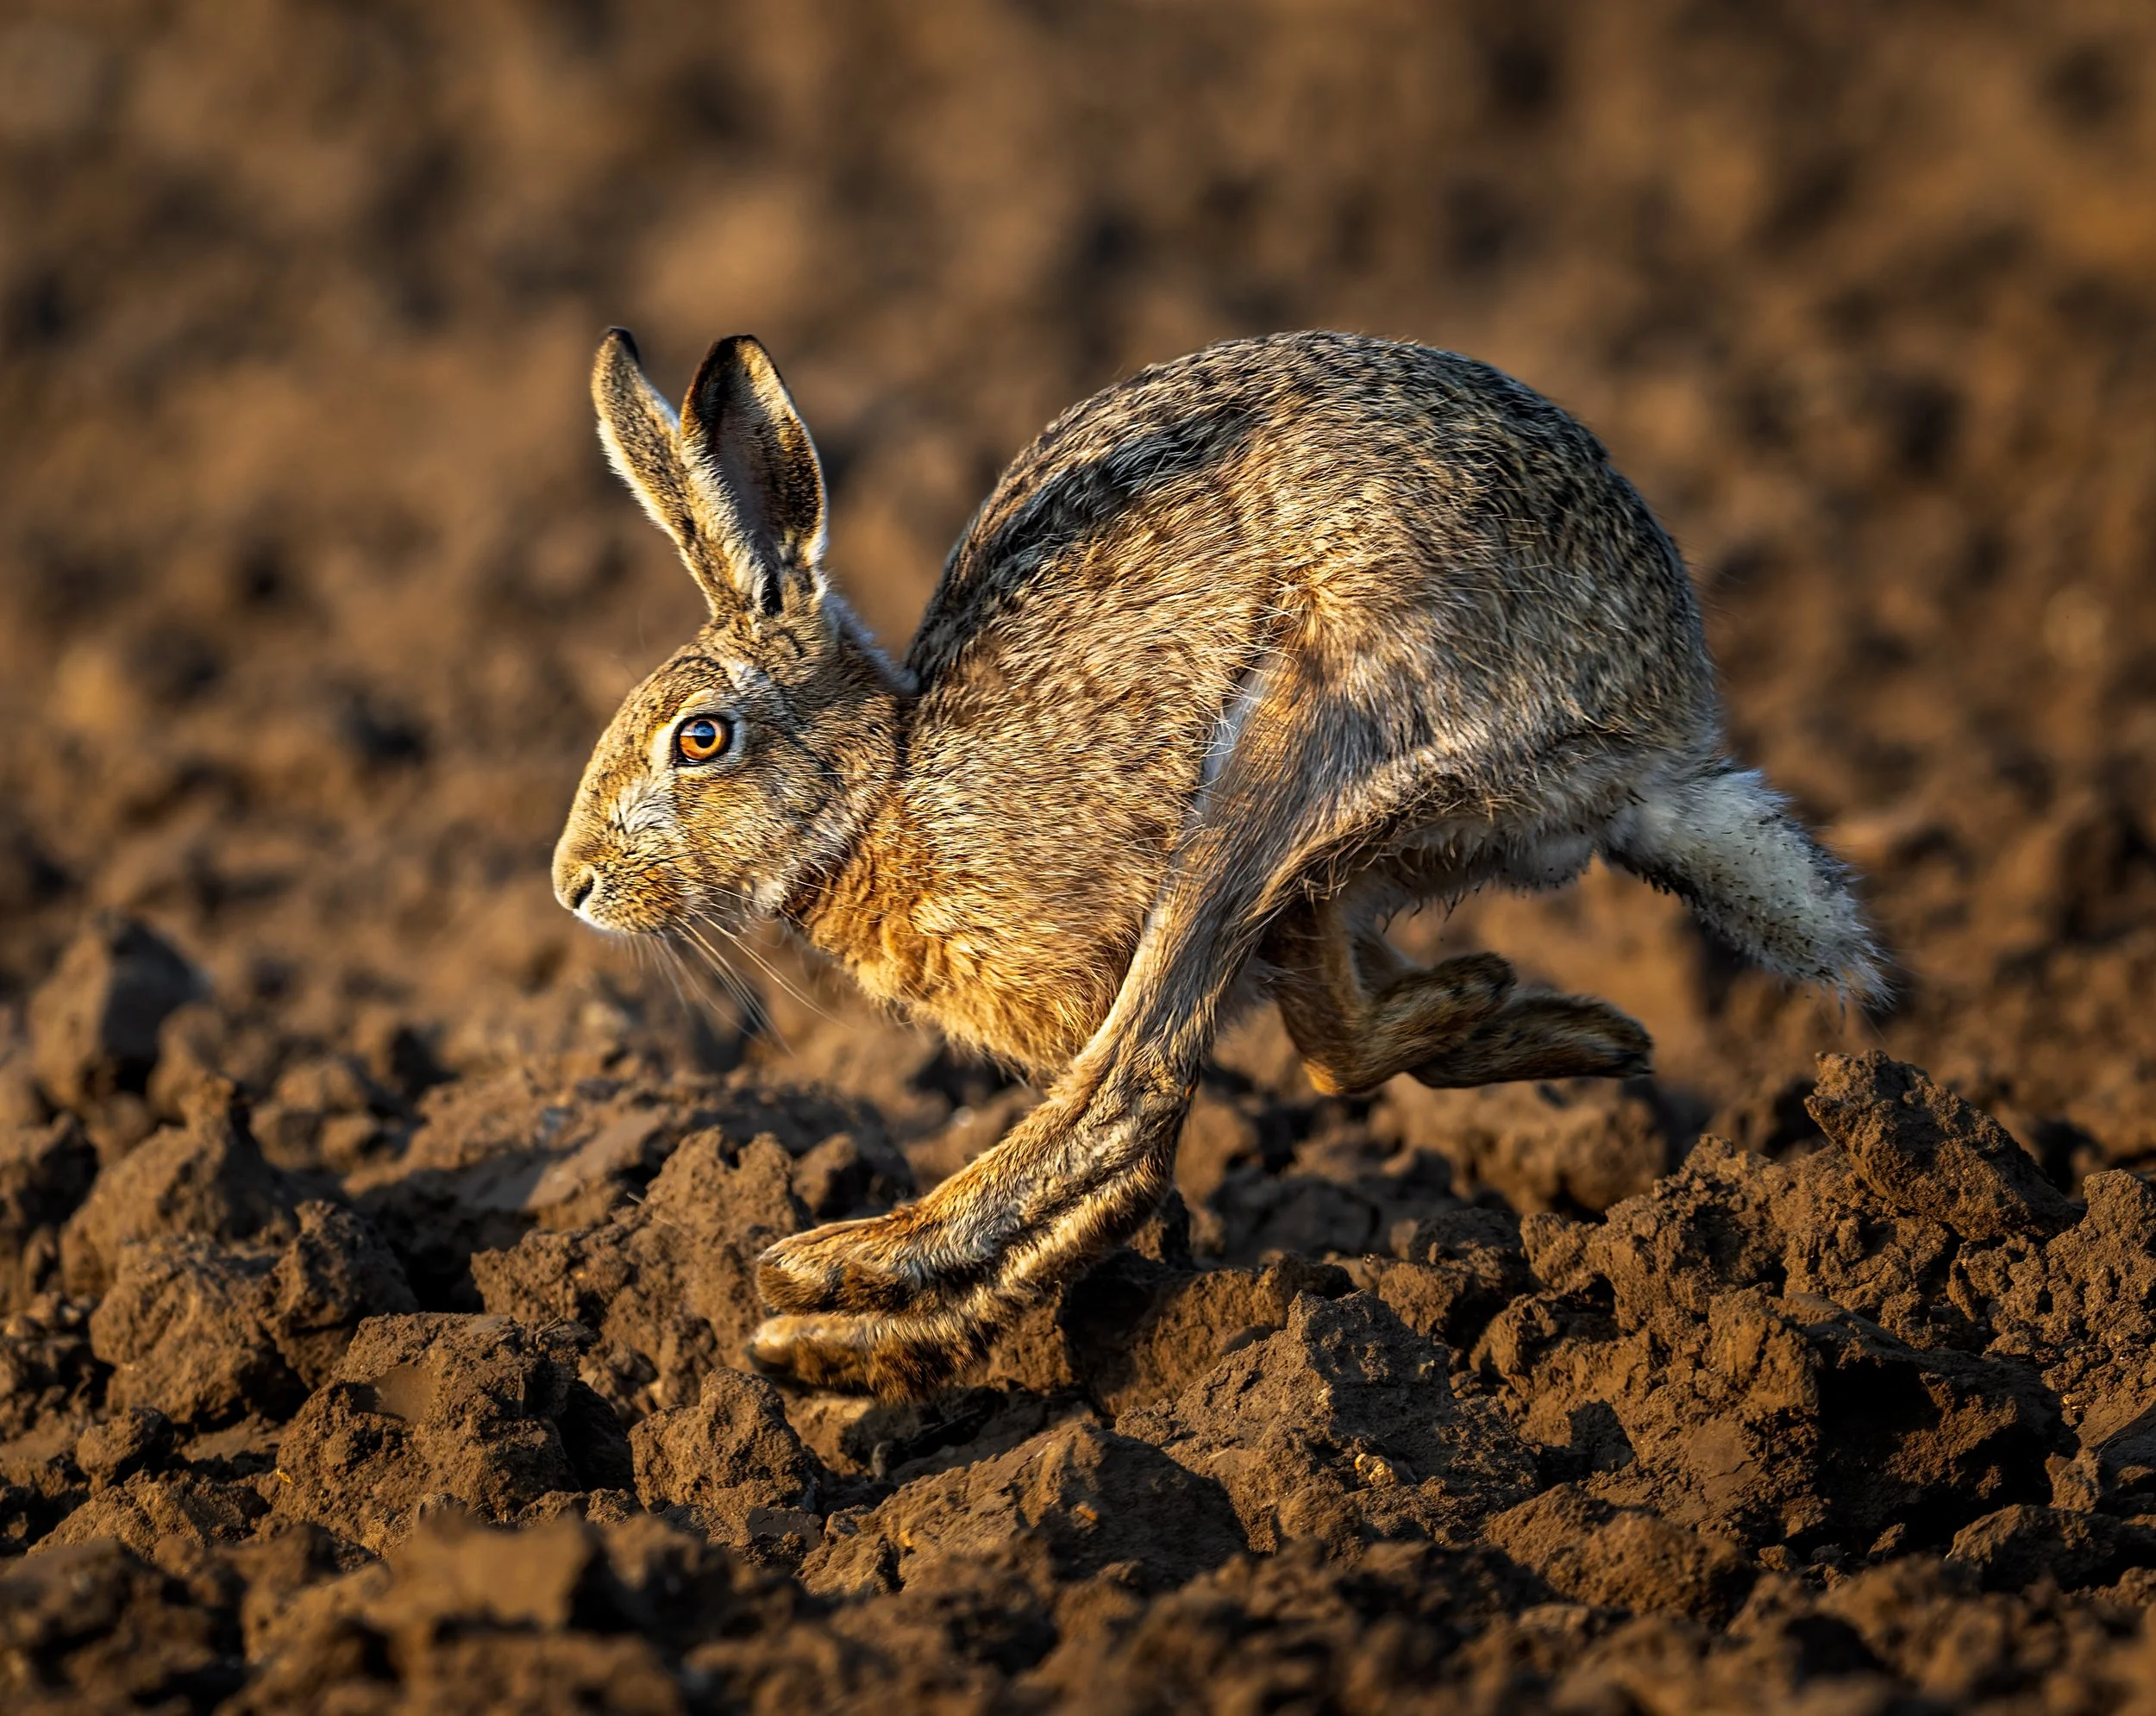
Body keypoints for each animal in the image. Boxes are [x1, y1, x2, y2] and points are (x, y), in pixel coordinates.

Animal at [553, 326, 1883, 1399]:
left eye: (701, 738)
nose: (572, 886)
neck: (884, 783)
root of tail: (1660, 732)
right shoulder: (1311, 907)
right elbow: (1331, 1019)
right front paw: (1482, 1007)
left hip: (1304, 725)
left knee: (1130, 1107)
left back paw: (831, 1298)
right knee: (1300, 1050)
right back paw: (1553, 1022)